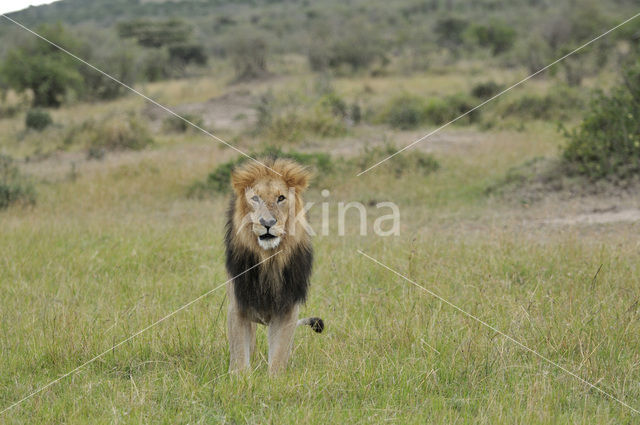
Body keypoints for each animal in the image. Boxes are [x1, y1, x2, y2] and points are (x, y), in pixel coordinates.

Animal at [225, 157, 324, 372]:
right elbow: (239, 354)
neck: (269, 259)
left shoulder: (288, 309)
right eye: (255, 198)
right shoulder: (238, 305)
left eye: (281, 198)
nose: (268, 222)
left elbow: (279, 354)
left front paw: (275, 378)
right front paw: (239, 377)